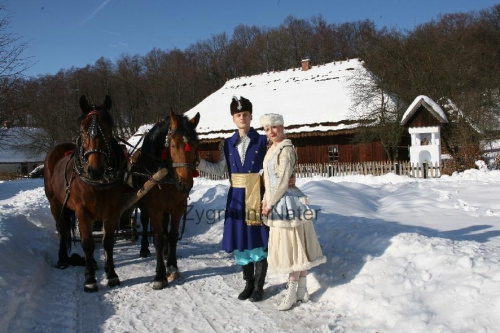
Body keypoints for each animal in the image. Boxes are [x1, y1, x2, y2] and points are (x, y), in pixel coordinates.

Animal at [44, 94, 127, 292]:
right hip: (56, 204)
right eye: (82, 130)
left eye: (108, 128)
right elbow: (88, 244)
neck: (98, 183)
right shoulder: (83, 212)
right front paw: (89, 279)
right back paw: (62, 259)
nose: (95, 170)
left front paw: (112, 274)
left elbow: (107, 242)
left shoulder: (112, 212)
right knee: (62, 229)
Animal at [135, 109, 201, 288]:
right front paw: (160, 275)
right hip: (143, 205)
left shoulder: (177, 207)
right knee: (145, 223)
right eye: (172, 145)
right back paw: (144, 248)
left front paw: (172, 266)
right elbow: (158, 237)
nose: (185, 184)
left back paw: (165, 253)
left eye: (195, 146)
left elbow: (172, 235)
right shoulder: (154, 208)